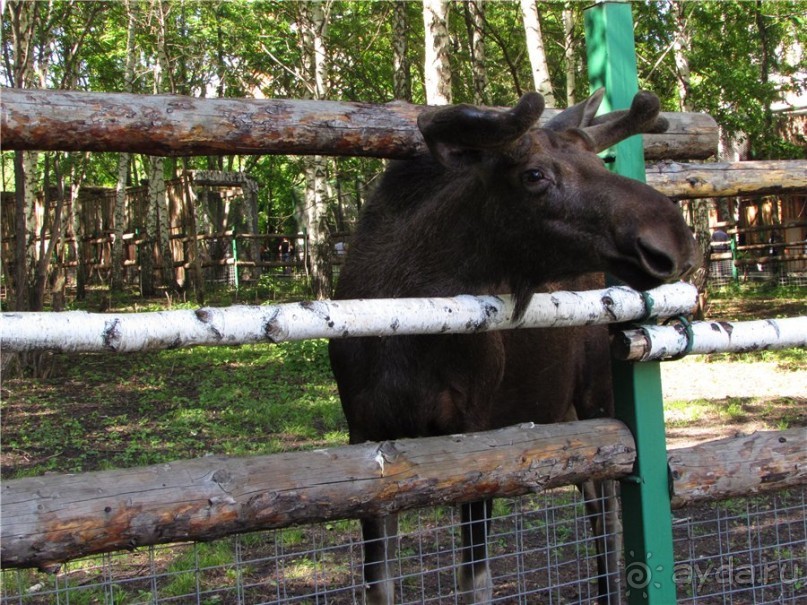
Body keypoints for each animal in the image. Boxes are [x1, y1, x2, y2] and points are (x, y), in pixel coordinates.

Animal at [328, 87, 700, 600]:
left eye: (599, 161)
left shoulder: (476, 428)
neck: (403, 335)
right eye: (534, 175)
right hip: (565, 412)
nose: (674, 238)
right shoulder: (365, 434)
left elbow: (475, 580)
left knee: (607, 514)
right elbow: (378, 584)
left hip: (598, 401)